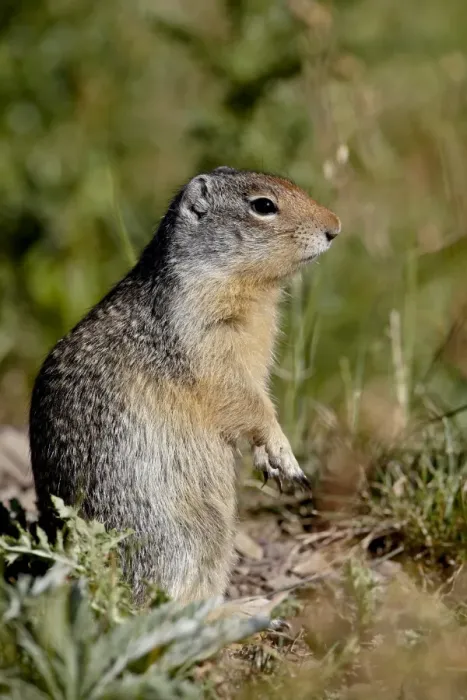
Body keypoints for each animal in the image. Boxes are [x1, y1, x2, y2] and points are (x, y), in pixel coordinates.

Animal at [29, 166, 341, 603]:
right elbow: (246, 402)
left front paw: (270, 461)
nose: (335, 227)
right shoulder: (204, 341)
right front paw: (286, 457)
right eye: (263, 205)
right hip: (188, 537)